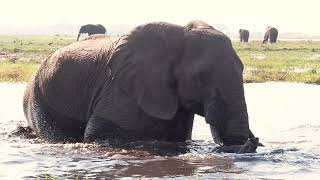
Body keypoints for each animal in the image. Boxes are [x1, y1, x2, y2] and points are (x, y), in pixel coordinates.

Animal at [24, 21, 260, 153]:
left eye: (242, 69)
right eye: (200, 77)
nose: (251, 143)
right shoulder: (122, 87)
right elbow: (99, 134)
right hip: (39, 98)